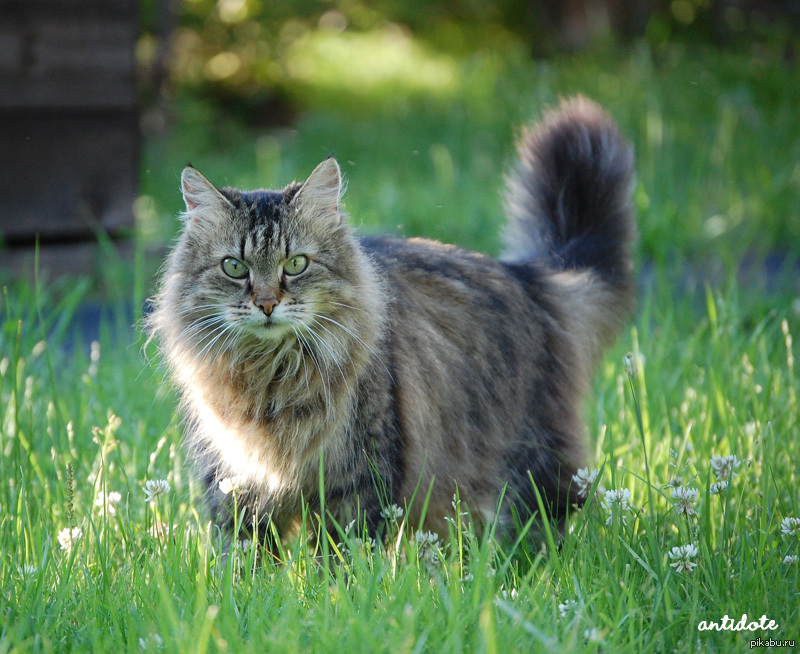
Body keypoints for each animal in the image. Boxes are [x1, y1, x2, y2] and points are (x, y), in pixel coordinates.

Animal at [147, 97, 636, 548]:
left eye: (296, 264)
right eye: (234, 267)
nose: (267, 303)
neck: (270, 377)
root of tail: (530, 276)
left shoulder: (359, 480)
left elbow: (341, 560)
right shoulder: (232, 483)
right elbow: (242, 561)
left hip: (528, 469)